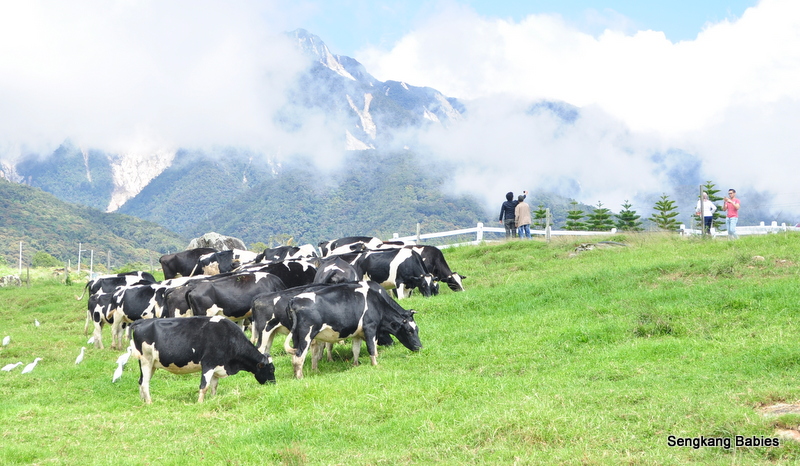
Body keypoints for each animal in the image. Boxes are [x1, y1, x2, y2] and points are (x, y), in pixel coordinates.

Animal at [132, 316, 278, 404]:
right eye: (271, 369)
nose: (274, 384)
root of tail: (141, 322)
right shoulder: (208, 363)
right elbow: (204, 386)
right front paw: (200, 403)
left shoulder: (217, 366)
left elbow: (214, 385)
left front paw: (213, 399)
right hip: (146, 360)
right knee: (144, 383)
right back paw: (149, 402)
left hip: (151, 364)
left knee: (140, 381)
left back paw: (142, 401)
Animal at [290, 280, 424, 378]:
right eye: (409, 331)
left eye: (417, 330)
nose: (420, 347)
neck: (376, 302)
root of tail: (294, 300)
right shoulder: (370, 327)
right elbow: (371, 347)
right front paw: (375, 364)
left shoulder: (357, 334)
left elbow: (356, 349)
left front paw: (355, 364)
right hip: (306, 336)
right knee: (299, 356)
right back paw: (301, 377)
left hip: (297, 337)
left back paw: (312, 370)